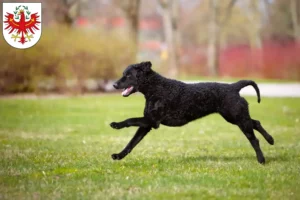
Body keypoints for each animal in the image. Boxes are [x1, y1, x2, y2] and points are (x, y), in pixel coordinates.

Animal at [110, 61, 274, 164]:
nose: (114, 84)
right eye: (123, 74)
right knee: (256, 122)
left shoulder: (152, 121)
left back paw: (261, 160)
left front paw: (116, 124)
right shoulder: (147, 123)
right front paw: (119, 155)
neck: (156, 88)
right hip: (236, 117)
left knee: (254, 139)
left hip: (237, 118)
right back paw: (271, 140)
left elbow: (130, 120)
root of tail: (234, 87)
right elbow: (131, 143)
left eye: (128, 75)